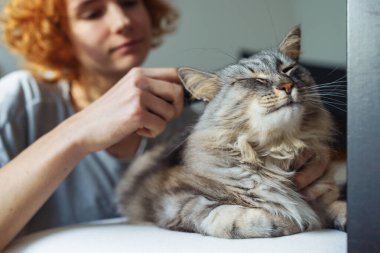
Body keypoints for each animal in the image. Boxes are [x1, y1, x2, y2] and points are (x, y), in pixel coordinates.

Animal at [116, 26, 348, 238]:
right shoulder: (173, 201)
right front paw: (292, 221)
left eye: (288, 69)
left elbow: (337, 204)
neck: (279, 150)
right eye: (254, 80)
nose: (287, 85)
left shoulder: (323, 190)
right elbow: (227, 214)